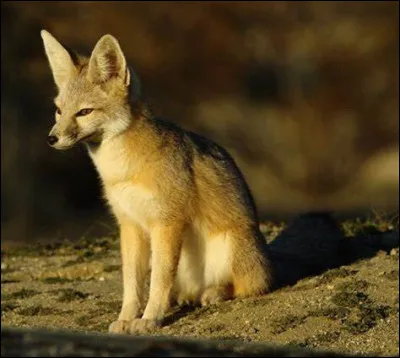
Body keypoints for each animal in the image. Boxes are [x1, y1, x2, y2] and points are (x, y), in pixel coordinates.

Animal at [40, 30, 274, 336]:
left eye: (84, 112)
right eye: (59, 110)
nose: (51, 138)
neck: (121, 170)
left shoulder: (166, 222)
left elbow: (159, 281)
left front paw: (150, 318)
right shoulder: (130, 225)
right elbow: (132, 284)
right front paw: (127, 318)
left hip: (232, 246)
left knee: (250, 286)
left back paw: (214, 292)